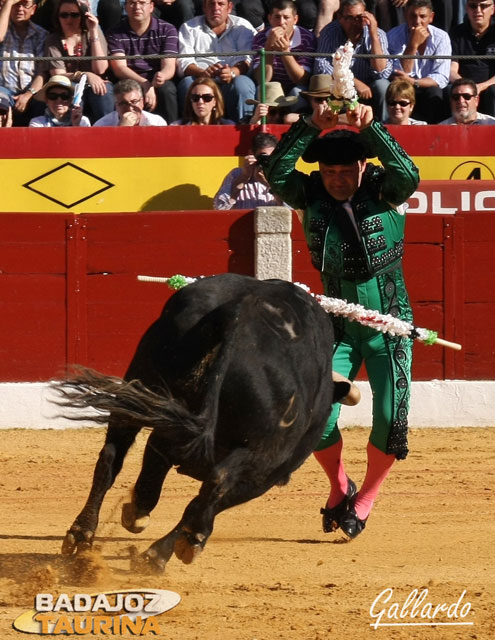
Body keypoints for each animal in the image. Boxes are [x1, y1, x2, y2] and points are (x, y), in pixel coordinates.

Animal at [55, 272, 352, 572]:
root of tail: (241, 312)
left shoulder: (169, 433)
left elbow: (154, 477)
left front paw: (136, 514)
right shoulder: (265, 475)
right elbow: (208, 502)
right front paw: (171, 547)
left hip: (140, 386)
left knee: (111, 455)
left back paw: (82, 535)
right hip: (261, 454)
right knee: (216, 482)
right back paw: (173, 547)